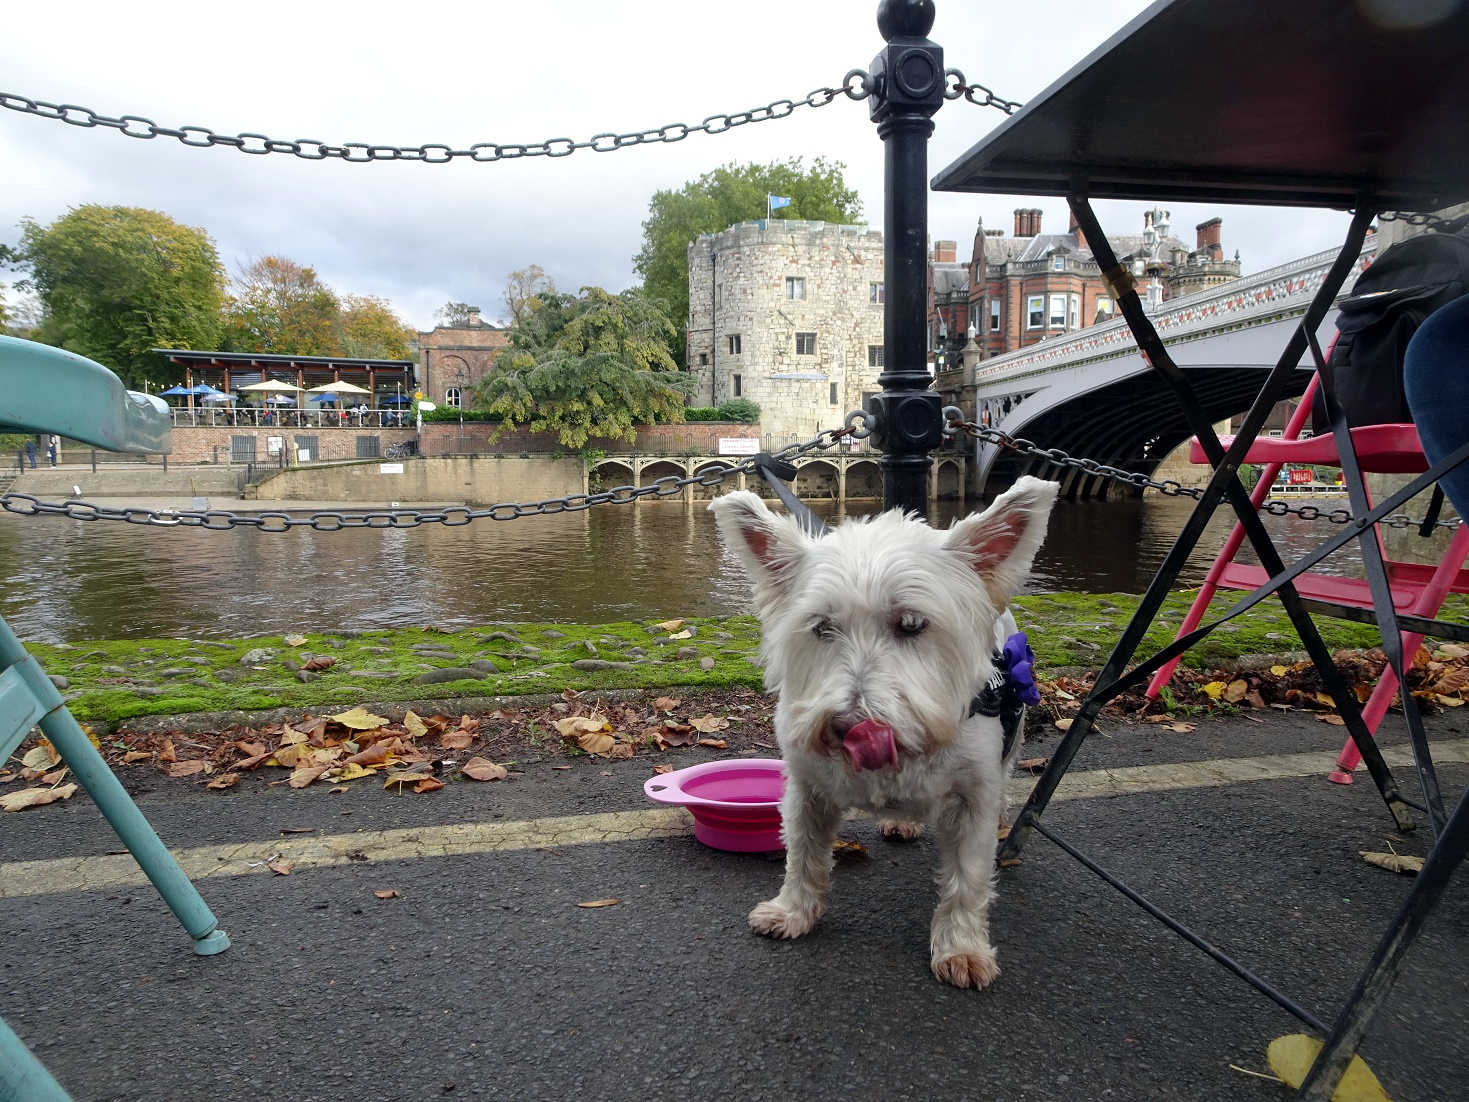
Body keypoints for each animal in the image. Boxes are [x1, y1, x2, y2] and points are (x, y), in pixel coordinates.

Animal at [708, 476, 1057, 993]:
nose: (849, 725)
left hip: (1012, 739)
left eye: (912, 624)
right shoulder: (807, 791)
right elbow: (804, 856)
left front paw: (962, 949)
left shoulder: (971, 798)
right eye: (821, 627)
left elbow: (968, 879)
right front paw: (792, 912)